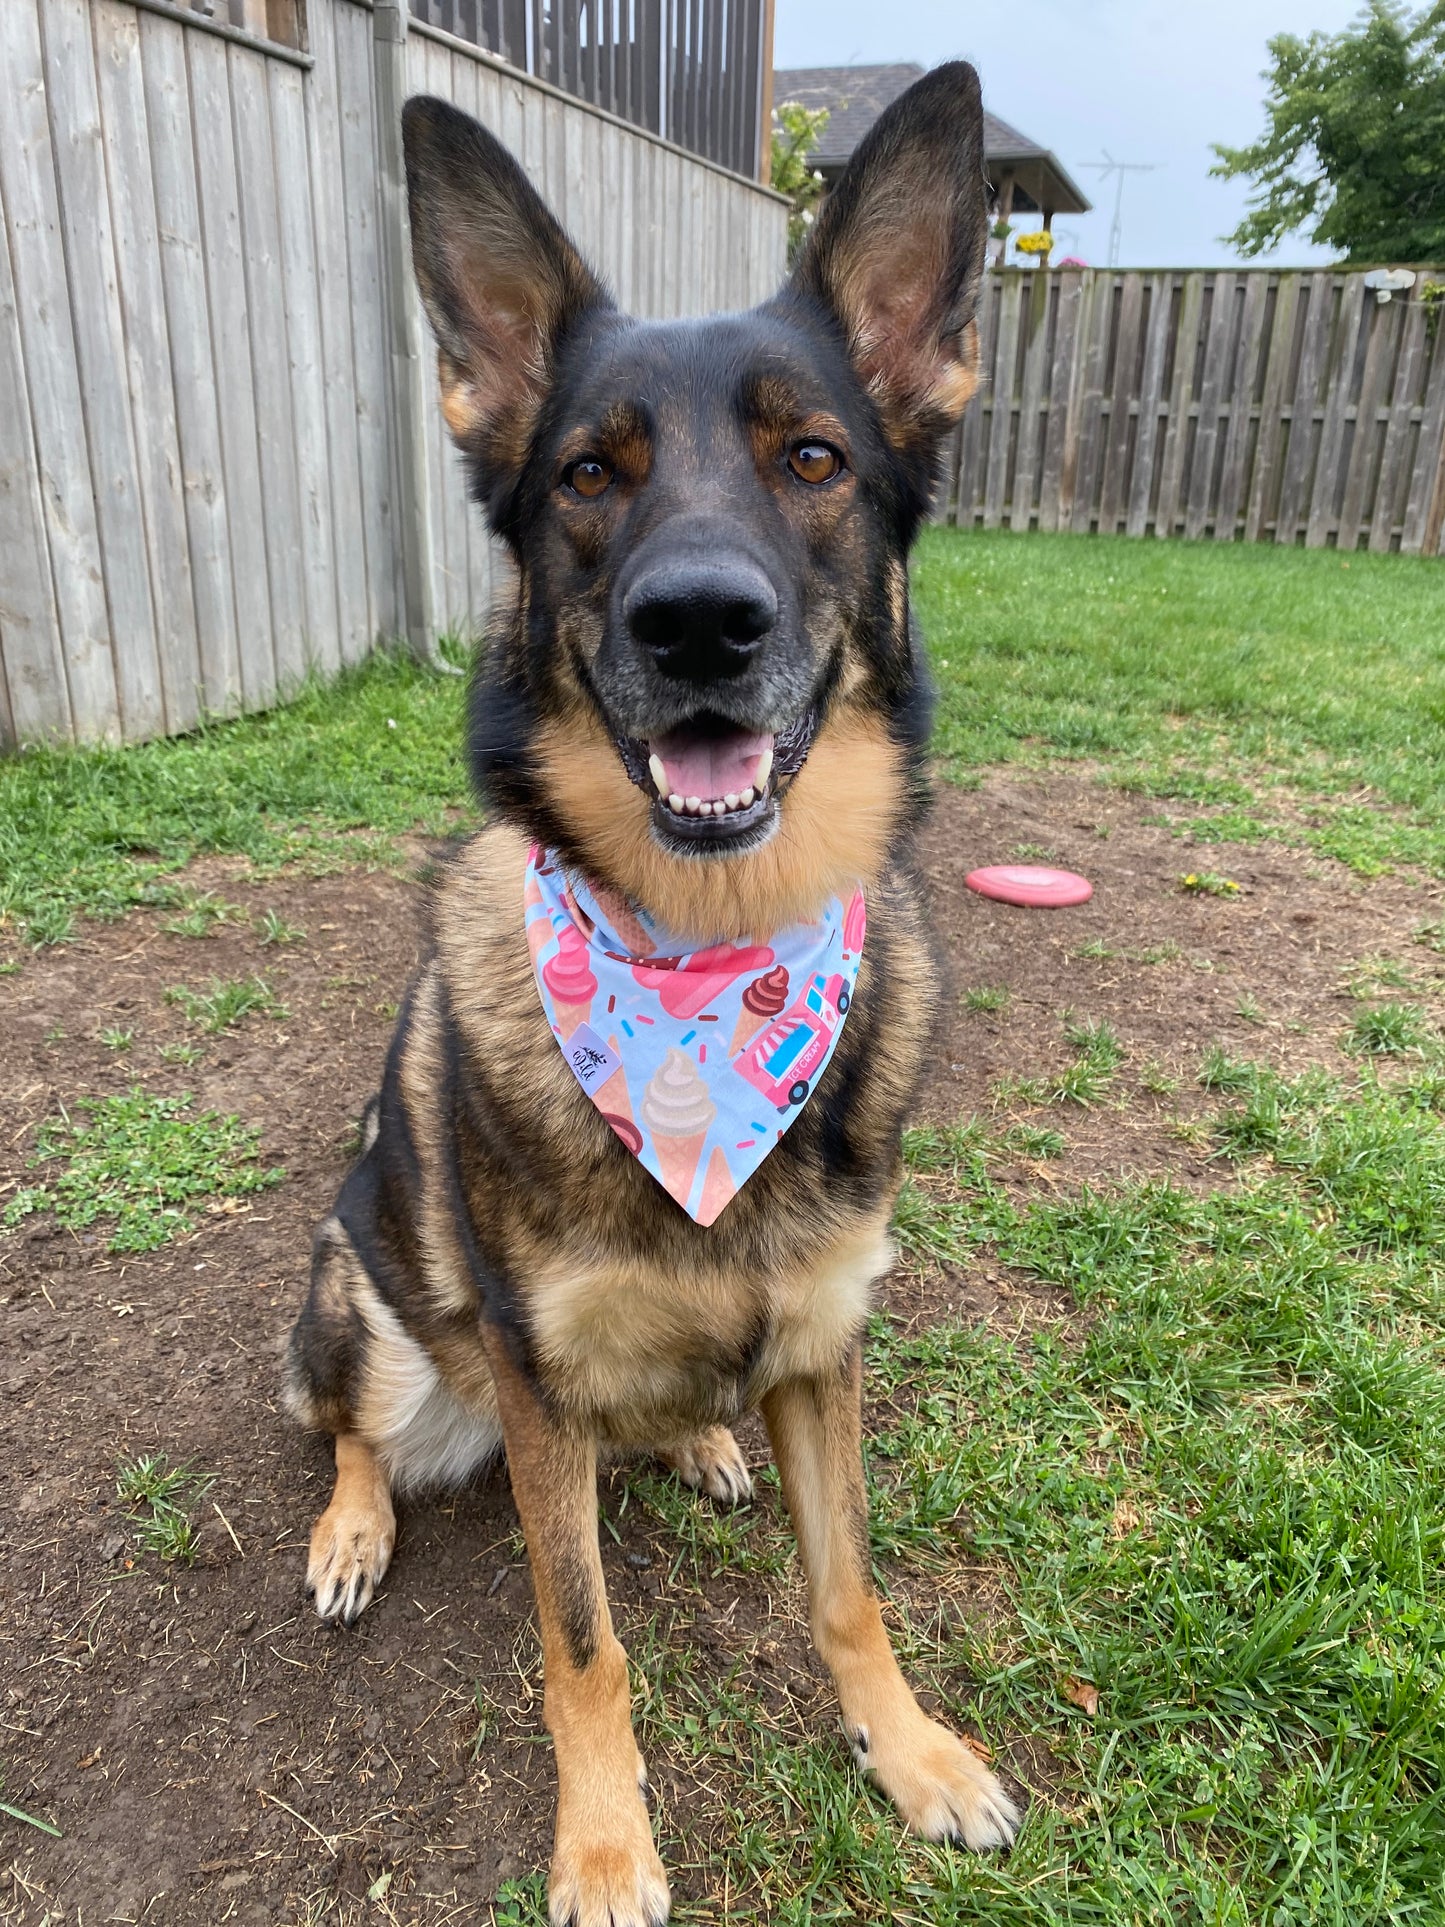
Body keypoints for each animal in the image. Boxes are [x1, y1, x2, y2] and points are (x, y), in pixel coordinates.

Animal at [285, 60, 1017, 1927]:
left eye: (813, 458)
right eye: (588, 475)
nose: (699, 623)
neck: (708, 968)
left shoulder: (826, 1348)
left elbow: (847, 1586)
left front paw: (911, 1750)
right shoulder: (540, 1387)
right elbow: (582, 1639)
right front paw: (608, 1846)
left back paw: (697, 1440)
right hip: (364, 1300)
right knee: (349, 1424)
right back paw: (352, 1527)